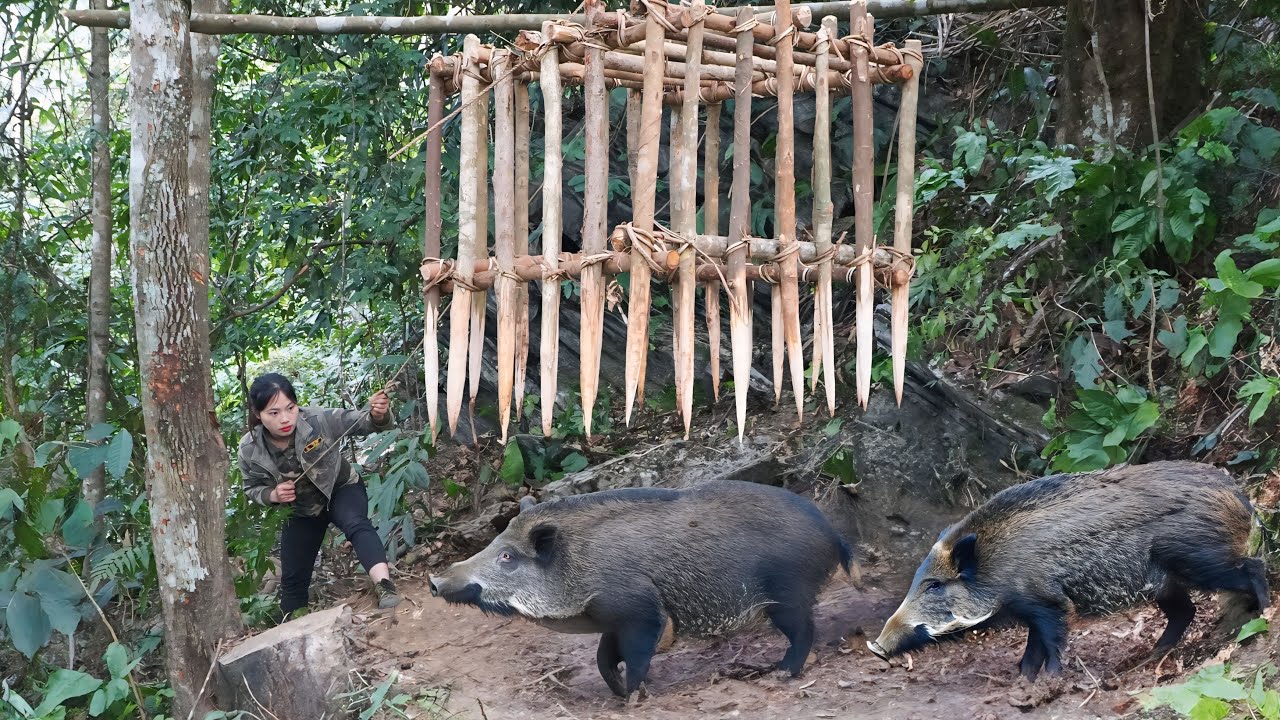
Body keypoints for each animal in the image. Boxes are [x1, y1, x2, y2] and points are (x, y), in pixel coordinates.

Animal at [429, 480, 853, 698]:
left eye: (507, 556)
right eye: (496, 542)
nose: (434, 581)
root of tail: (834, 534)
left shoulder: (640, 609)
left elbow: (634, 656)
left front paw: (633, 698)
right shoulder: (613, 619)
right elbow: (603, 657)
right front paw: (618, 693)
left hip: (787, 592)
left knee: (803, 630)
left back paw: (780, 674)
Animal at [868, 461, 1270, 679]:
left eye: (934, 585)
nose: (876, 646)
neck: (995, 566)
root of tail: (1238, 493)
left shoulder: (1047, 602)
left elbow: (1052, 640)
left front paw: (1051, 680)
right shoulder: (1029, 610)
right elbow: (1032, 647)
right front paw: (1023, 679)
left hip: (1201, 559)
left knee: (1252, 567)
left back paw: (1264, 613)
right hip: (1166, 582)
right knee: (1185, 611)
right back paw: (1150, 657)